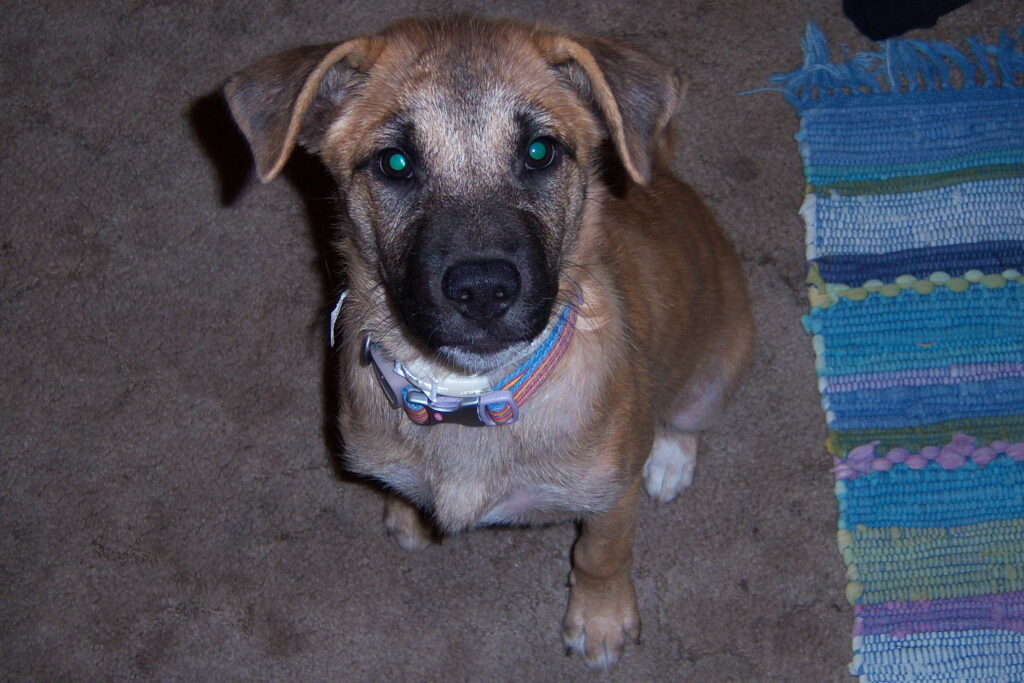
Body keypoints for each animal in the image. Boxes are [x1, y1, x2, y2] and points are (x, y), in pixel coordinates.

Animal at [224, 14, 753, 667]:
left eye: (539, 151)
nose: (482, 291)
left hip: (712, 375)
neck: (465, 394)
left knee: (685, 419)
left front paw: (600, 620)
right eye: (394, 162)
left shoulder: (610, 496)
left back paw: (670, 458)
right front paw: (407, 510)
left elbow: (601, 555)